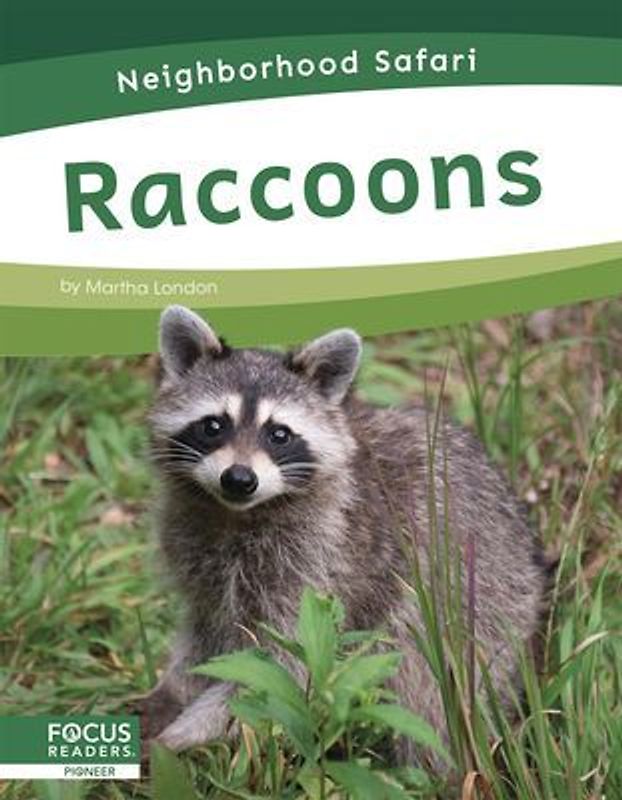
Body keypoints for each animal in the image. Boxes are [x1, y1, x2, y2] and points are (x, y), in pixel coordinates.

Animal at [142, 305, 548, 762]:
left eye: (279, 434)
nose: (239, 479)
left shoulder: (323, 560)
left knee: (426, 691)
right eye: (213, 426)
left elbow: (279, 669)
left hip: (485, 613)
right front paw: (173, 692)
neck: (237, 515)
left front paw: (187, 731)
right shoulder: (196, 548)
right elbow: (206, 634)